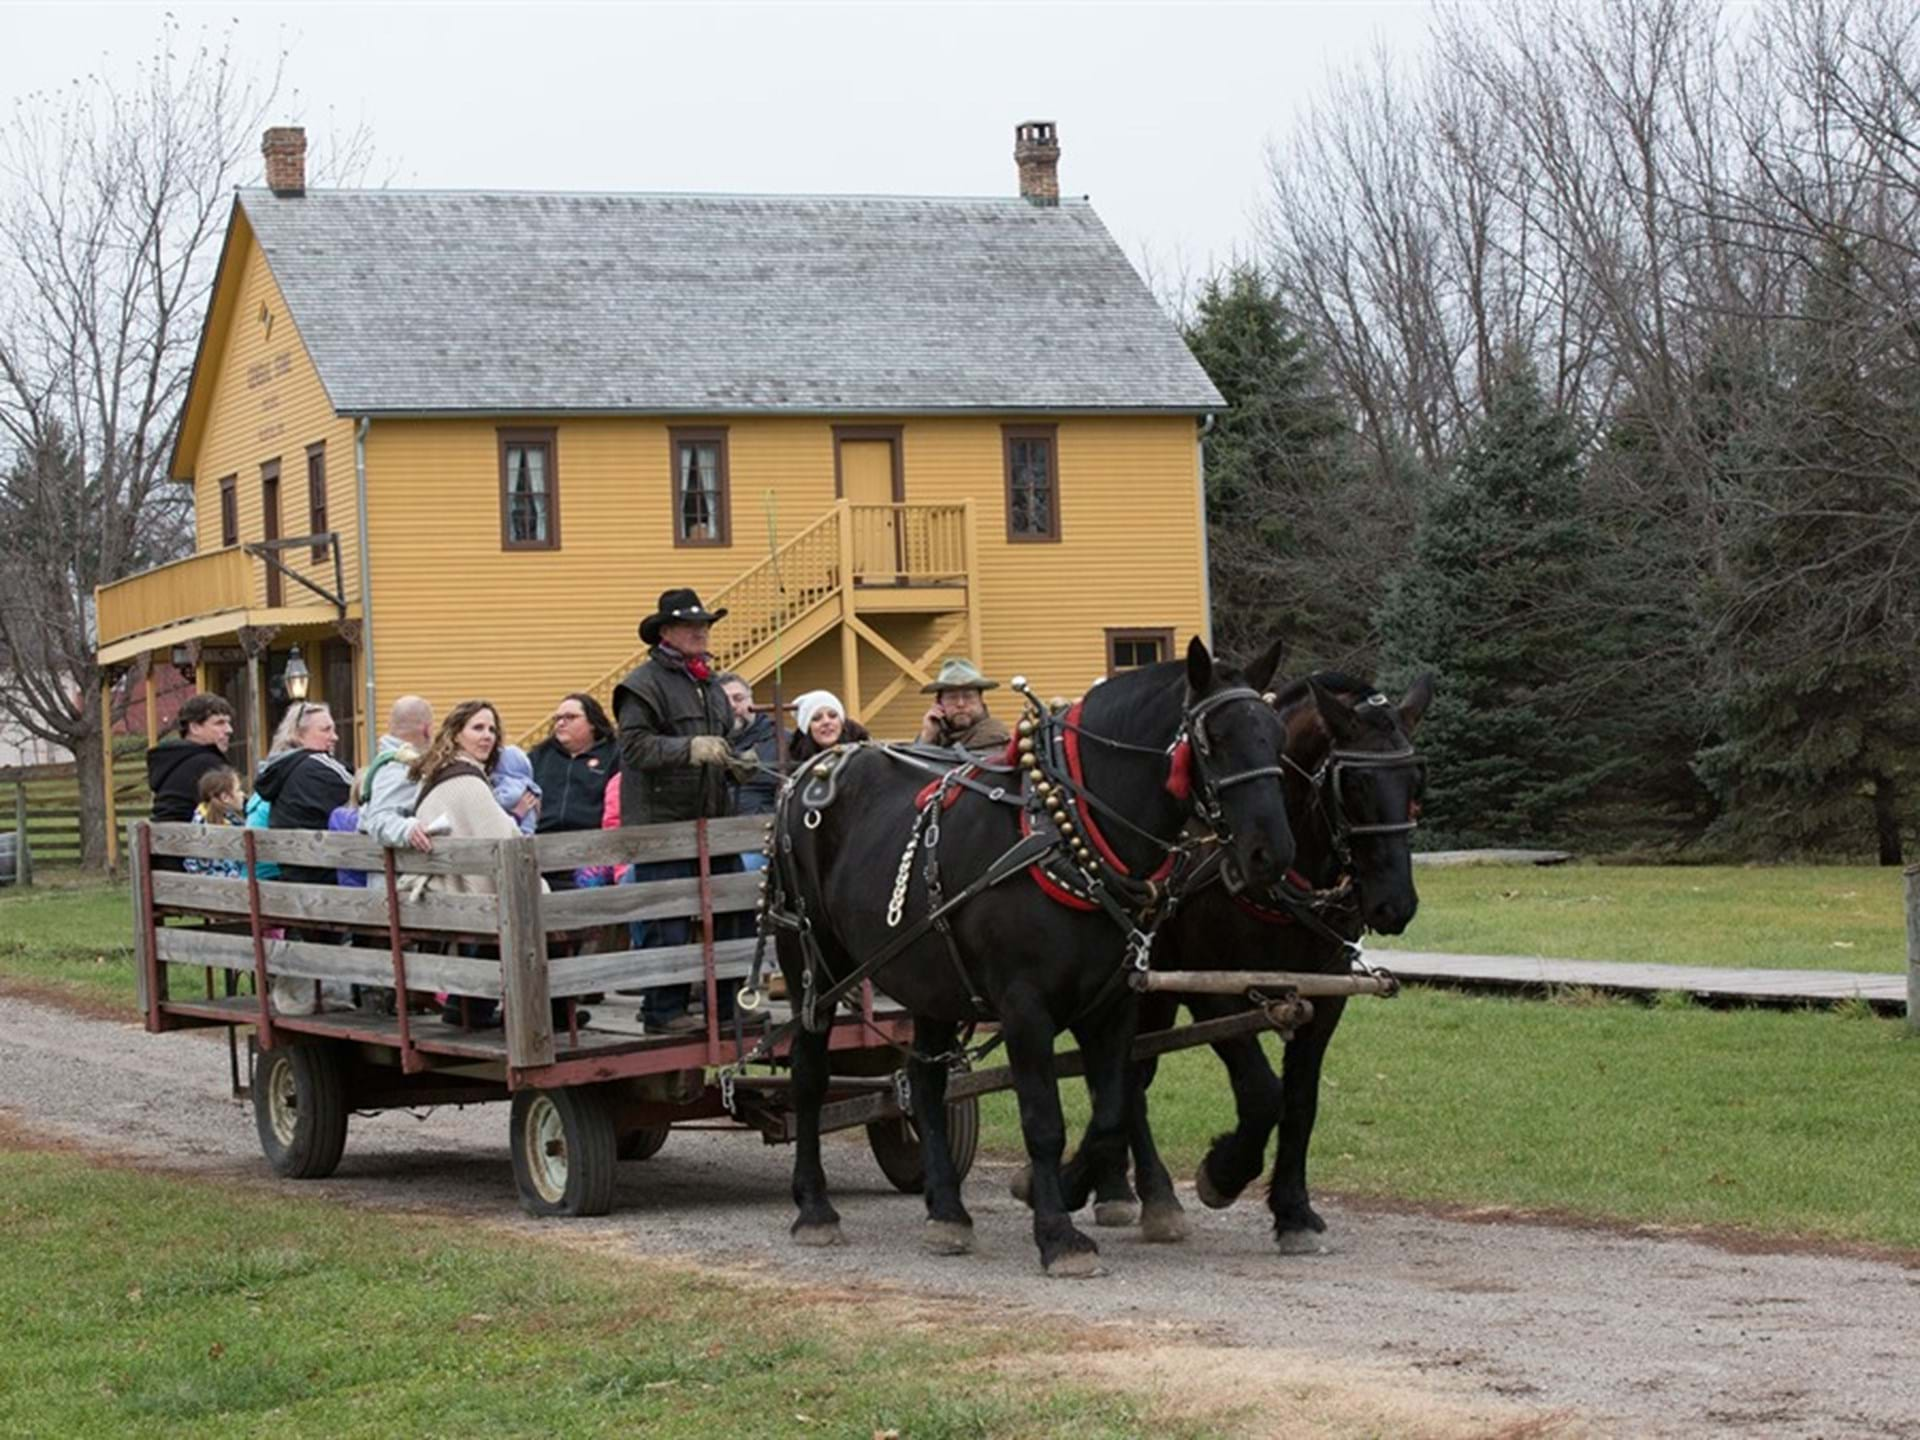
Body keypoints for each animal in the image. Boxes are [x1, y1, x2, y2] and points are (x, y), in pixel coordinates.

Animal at [771, 637, 1297, 1282]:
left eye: (1276, 735)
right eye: (1214, 738)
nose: (1270, 853)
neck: (1068, 828)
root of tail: (813, 768)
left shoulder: (1113, 1005)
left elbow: (1112, 1110)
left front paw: (1073, 1190)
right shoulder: (1025, 1008)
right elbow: (1044, 1122)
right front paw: (1057, 1233)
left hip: (929, 977)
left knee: (924, 1081)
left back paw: (947, 1212)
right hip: (809, 963)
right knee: (809, 1075)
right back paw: (814, 1207)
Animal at [1036, 675, 1428, 1251]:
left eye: (1415, 781)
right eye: (1352, 784)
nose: (1393, 904)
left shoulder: (1324, 995)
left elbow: (1300, 1100)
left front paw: (1292, 1210)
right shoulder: (1210, 991)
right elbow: (1263, 1093)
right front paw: (1223, 1173)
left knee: (1131, 1074)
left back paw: (1113, 1187)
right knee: (1132, 1079)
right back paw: (1147, 1195)